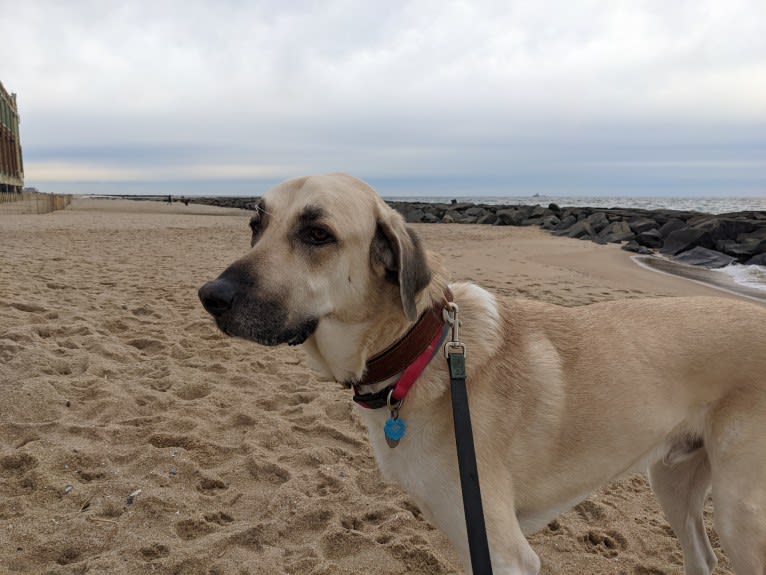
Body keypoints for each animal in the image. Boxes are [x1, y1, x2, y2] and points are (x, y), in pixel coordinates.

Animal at [200, 173, 766, 572]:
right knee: (701, 556)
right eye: (255, 226)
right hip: (672, 477)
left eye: (318, 234)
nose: (210, 296)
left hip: (740, 513)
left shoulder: (502, 552)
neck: (419, 348)